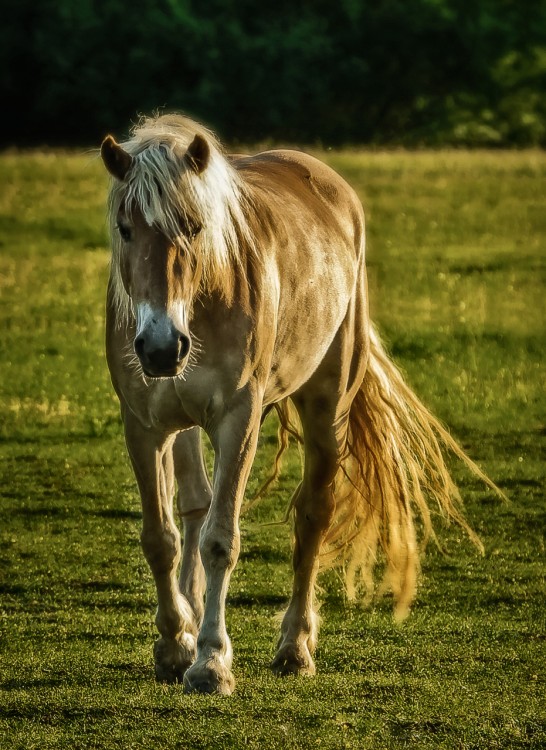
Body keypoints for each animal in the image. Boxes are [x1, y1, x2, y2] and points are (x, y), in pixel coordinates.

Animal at [99, 113, 498, 700]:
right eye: (126, 229)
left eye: (193, 227)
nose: (160, 347)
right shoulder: (145, 424)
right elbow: (162, 537)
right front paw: (175, 644)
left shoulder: (238, 421)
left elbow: (220, 540)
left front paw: (212, 662)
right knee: (195, 507)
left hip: (328, 408)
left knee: (313, 516)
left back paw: (294, 646)